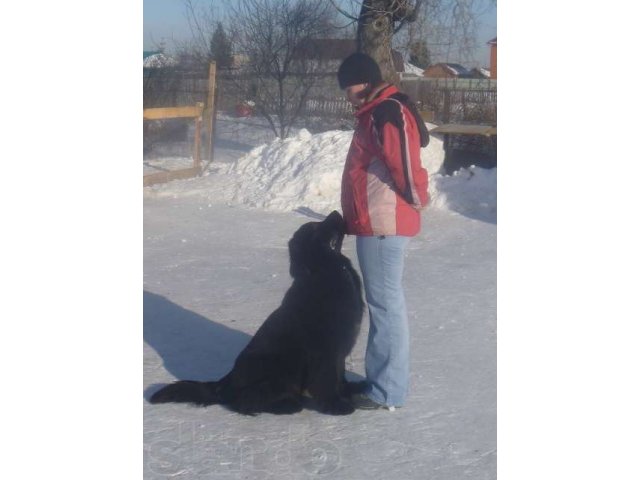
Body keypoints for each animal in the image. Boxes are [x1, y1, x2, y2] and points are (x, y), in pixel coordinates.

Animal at [148, 212, 362, 414]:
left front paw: (350, 392)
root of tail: (225, 382)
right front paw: (336, 406)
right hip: (279, 364)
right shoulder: (324, 349)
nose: (336, 212)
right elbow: (327, 379)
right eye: (315, 227)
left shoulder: (340, 348)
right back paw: (286, 406)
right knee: (244, 400)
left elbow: (339, 375)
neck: (327, 271)